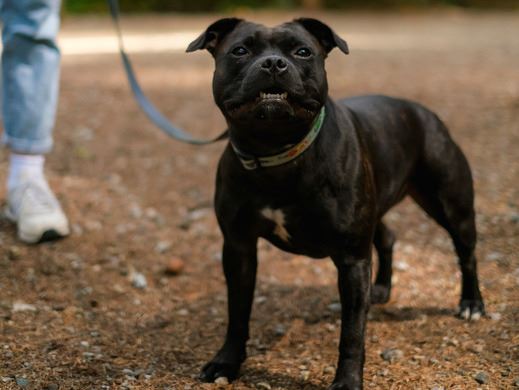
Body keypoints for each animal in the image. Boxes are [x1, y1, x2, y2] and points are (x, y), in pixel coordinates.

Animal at [188, 18, 488, 390]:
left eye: (303, 51)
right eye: (240, 50)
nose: (273, 63)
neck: (277, 152)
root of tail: (422, 111)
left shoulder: (351, 259)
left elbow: (352, 333)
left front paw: (346, 381)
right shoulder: (238, 248)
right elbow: (237, 311)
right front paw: (226, 361)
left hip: (451, 205)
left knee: (467, 253)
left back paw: (471, 303)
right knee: (387, 237)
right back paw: (382, 289)